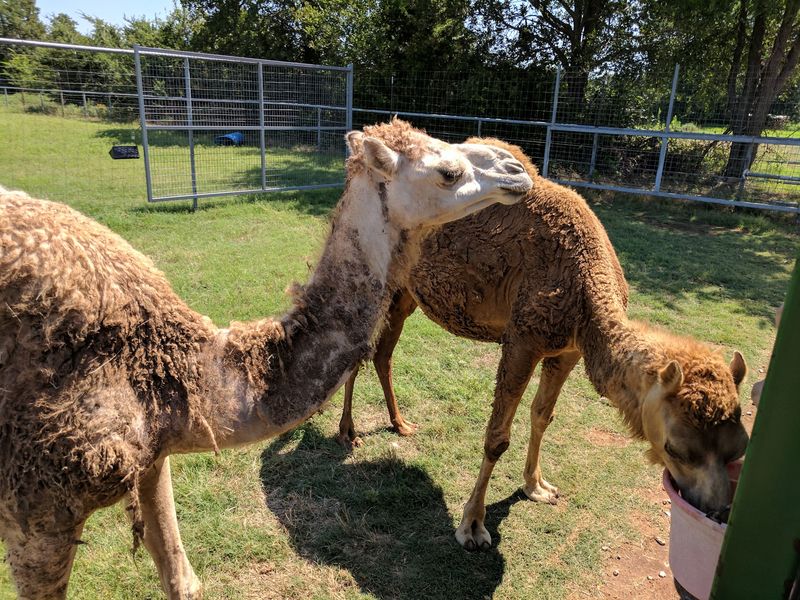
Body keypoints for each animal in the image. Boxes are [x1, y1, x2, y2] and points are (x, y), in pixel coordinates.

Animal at [0, 119, 533, 599]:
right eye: (448, 171)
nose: (515, 168)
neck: (167, 366)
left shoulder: (152, 458)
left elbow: (182, 581)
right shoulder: (37, 513)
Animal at [338, 137, 750, 551]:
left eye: (739, 448)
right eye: (676, 448)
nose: (716, 510)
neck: (586, 281)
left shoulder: (567, 350)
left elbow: (542, 415)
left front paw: (537, 487)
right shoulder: (522, 339)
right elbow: (497, 437)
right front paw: (472, 526)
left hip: (405, 294)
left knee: (383, 353)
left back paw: (400, 423)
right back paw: (348, 433)